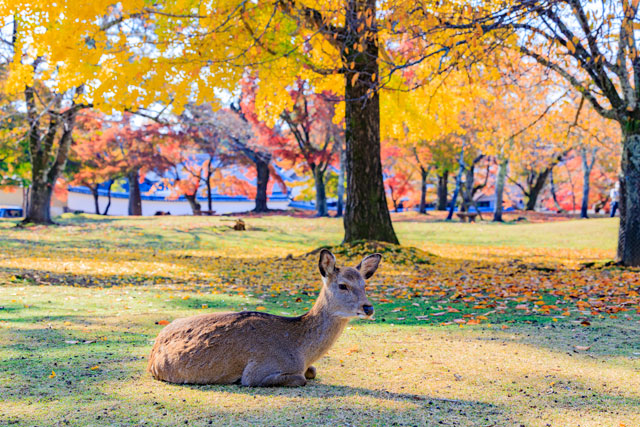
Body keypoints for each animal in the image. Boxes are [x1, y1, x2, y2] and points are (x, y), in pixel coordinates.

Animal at [146, 251, 380, 388]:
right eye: (342, 285)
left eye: (364, 285)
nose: (368, 307)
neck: (300, 351)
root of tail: (152, 354)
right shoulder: (257, 371)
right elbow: (301, 378)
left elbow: (312, 371)